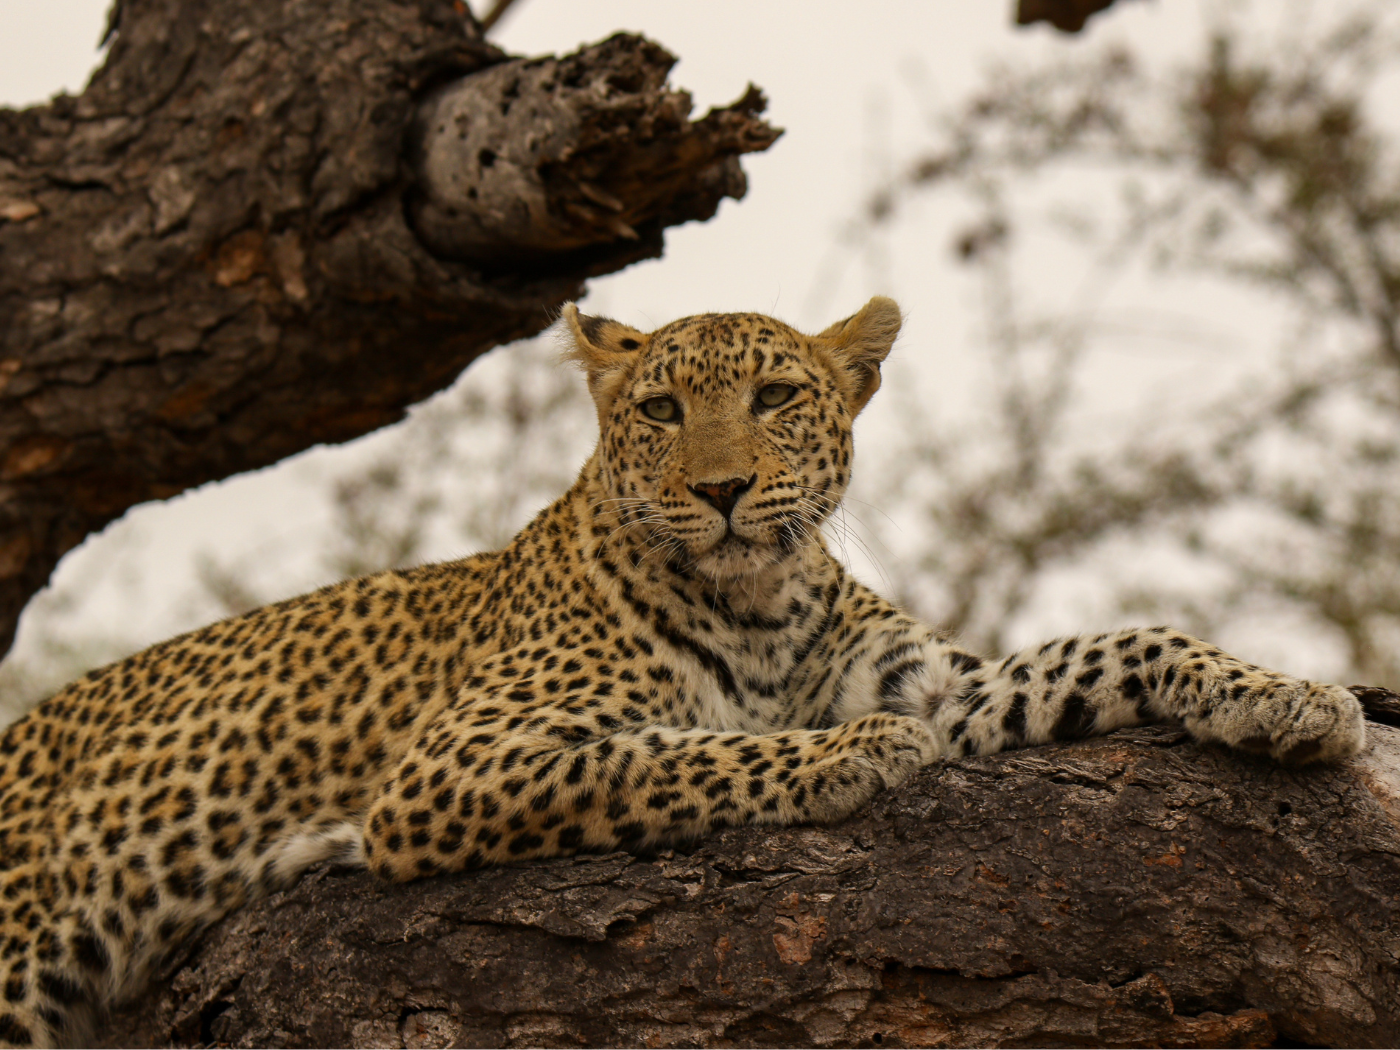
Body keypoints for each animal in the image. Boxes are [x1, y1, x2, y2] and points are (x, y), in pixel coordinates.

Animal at [0, 296, 1366, 1047]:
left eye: (774, 396)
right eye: (658, 412)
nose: (717, 490)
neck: (755, 602)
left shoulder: (937, 683)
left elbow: (1106, 646)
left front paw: (1290, 695)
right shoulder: (448, 768)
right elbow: (665, 755)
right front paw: (844, 757)